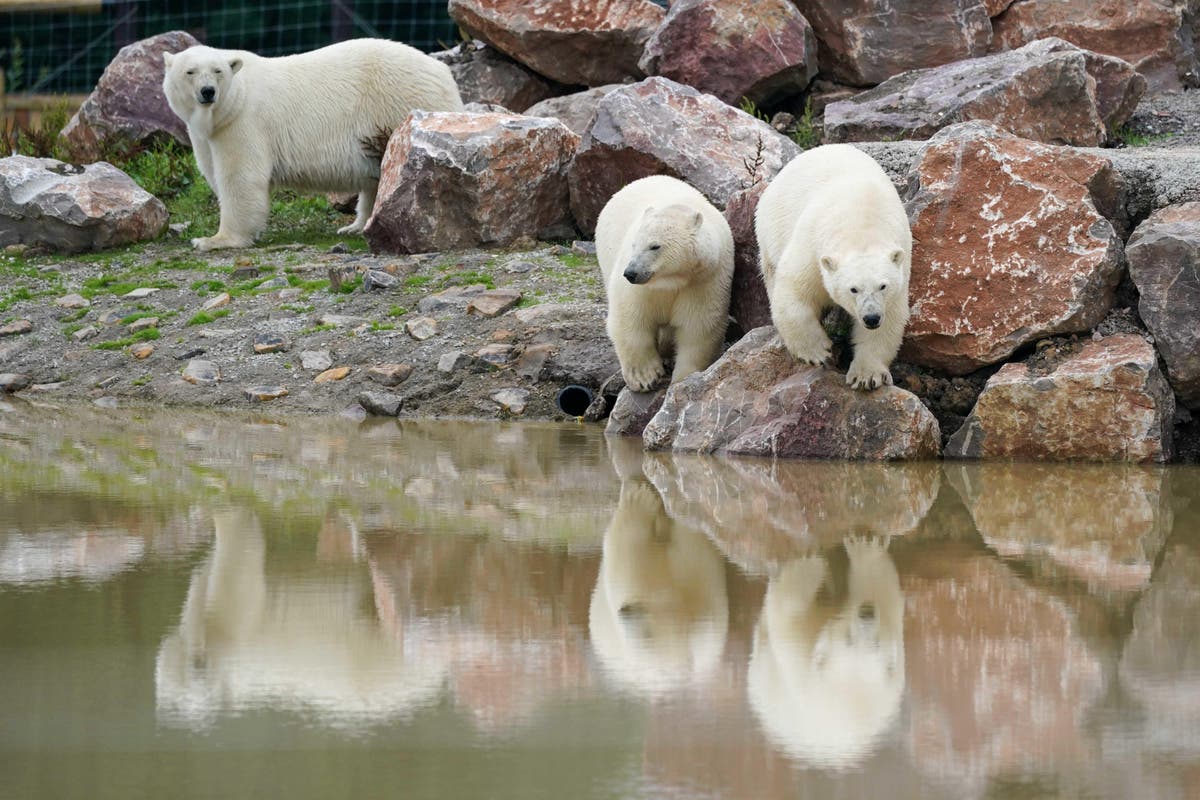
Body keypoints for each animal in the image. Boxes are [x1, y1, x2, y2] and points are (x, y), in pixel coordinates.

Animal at [162, 39, 463, 251]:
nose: (208, 92)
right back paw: (355, 226)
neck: (232, 101)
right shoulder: (209, 134)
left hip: (400, 105)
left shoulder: (245, 122)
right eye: (190, 72)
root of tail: (443, 71)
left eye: (218, 71)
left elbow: (241, 178)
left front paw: (214, 240)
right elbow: (215, 170)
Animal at [594, 175, 735, 392]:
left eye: (655, 246)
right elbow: (631, 319)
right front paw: (645, 377)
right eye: (634, 244)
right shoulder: (641, 289)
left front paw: (682, 380)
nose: (631, 273)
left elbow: (698, 327)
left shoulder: (705, 280)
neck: (671, 279)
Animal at [755, 144, 912, 390]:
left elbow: (892, 319)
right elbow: (795, 291)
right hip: (772, 226)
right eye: (853, 289)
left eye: (883, 286)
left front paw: (866, 376)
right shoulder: (812, 247)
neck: (862, 224)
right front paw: (819, 352)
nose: (871, 318)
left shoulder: (901, 268)